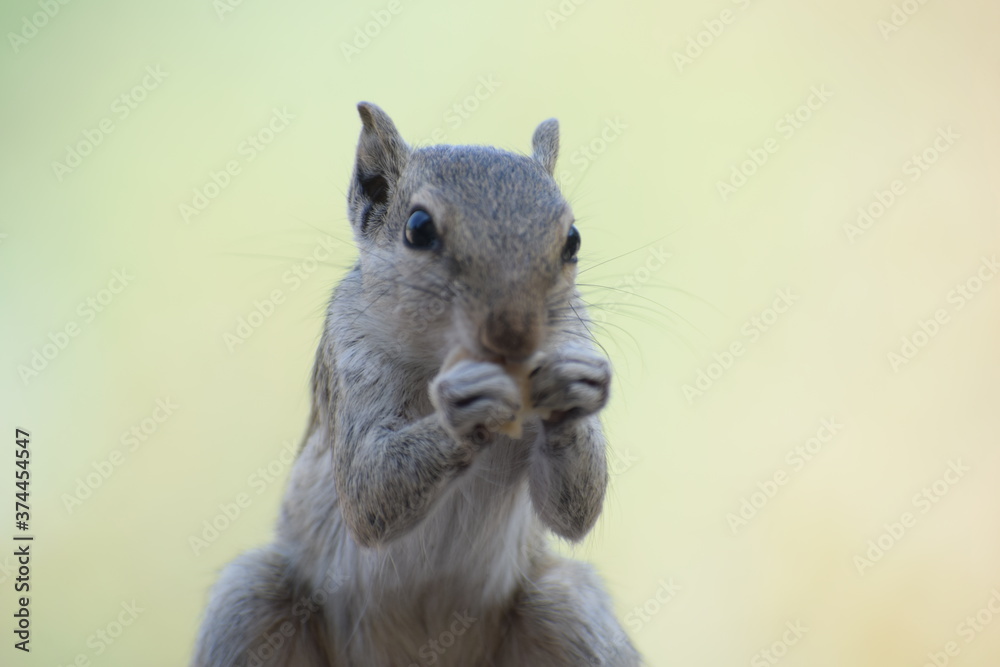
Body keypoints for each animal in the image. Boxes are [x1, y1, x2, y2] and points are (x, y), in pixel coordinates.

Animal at [191, 102, 641, 666]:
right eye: (419, 228)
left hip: (569, 609)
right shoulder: (350, 357)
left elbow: (574, 506)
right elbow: (369, 489)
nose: (514, 334)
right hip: (247, 603)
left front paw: (571, 389)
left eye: (573, 240)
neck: (438, 360)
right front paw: (465, 405)